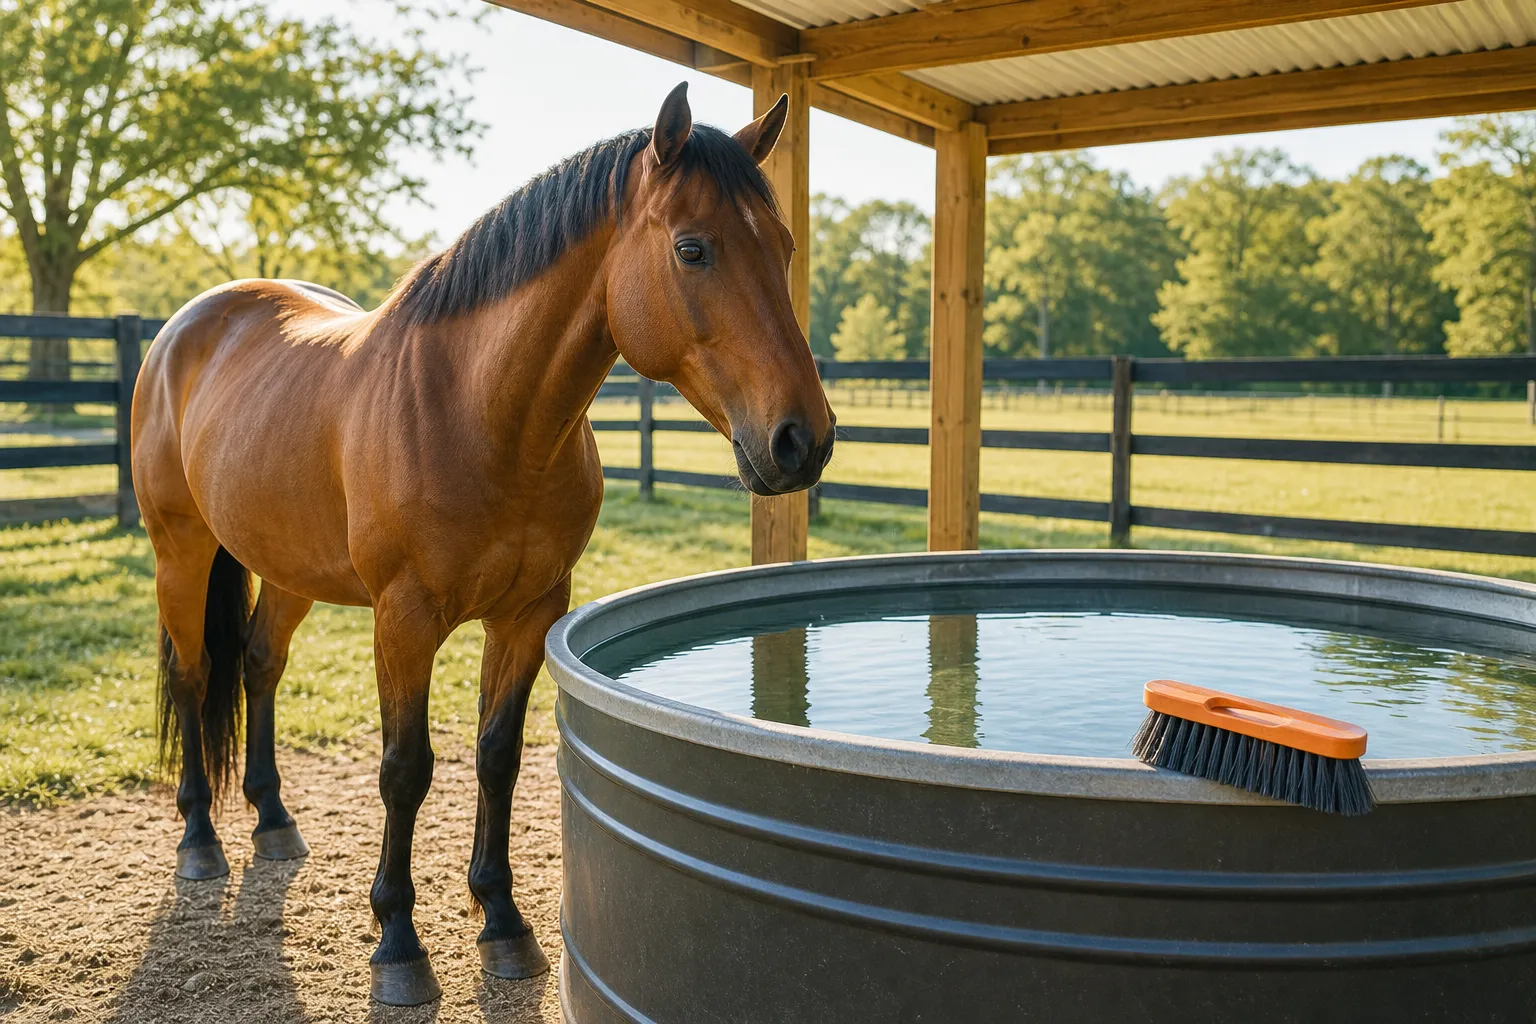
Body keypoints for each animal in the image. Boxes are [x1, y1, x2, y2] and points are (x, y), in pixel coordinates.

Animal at [130, 82, 835, 1006]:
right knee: (193, 673)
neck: (477, 413)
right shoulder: (403, 620)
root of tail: (188, 327)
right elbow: (406, 768)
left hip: (288, 568)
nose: (803, 442)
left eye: (782, 246)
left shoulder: (531, 611)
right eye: (693, 249)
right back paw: (200, 841)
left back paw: (274, 820)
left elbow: (497, 756)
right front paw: (399, 943)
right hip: (180, 550)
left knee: (256, 664)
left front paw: (501, 922)